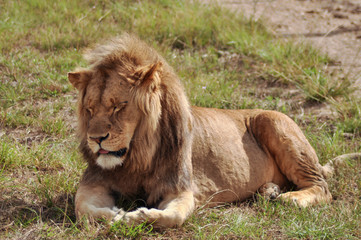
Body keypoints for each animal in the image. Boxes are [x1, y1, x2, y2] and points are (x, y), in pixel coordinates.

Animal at [67, 33, 332, 227]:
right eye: (89, 109)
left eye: (118, 106)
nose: (96, 139)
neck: (138, 155)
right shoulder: (94, 182)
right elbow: (83, 209)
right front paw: (115, 214)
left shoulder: (181, 188)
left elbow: (173, 216)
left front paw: (137, 216)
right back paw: (269, 191)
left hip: (274, 122)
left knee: (322, 187)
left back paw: (291, 198)